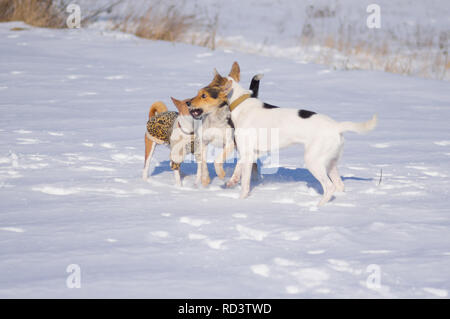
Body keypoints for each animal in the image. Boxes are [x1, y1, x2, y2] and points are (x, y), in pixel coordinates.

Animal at [188, 62, 378, 208]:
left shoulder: (247, 153)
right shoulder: (249, 153)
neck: (240, 103)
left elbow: (244, 183)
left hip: (314, 161)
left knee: (329, 187)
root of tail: (337, 126)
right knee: (339, 185)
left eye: (203, 95)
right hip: (330, 162)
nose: (188, 103)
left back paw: (317, 207)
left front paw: (241, 199)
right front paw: (232, 181)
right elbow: (238, 171)